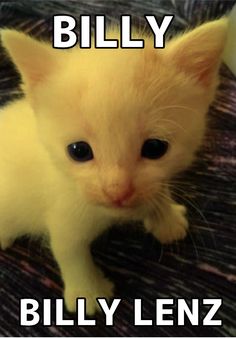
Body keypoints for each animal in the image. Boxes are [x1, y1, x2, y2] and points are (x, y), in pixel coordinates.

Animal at [0, 19, 228, 314]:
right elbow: (68, 251)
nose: (117, 191)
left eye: (155, 148)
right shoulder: (63, 213)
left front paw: (166, 218)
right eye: (79, 151)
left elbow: (158, 188)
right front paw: (88, 293)